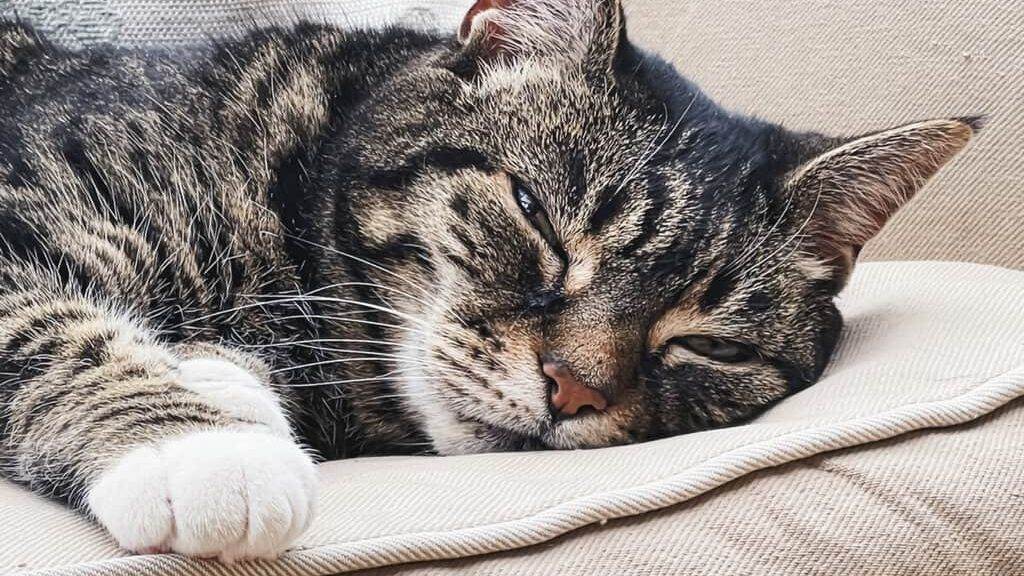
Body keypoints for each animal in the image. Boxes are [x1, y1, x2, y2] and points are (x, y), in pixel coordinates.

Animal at [0, 0, 974, 561]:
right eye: (536, 217)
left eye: (709, 344)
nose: (573, 390)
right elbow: (53, 327)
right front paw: (198, 446)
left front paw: (222, 386)